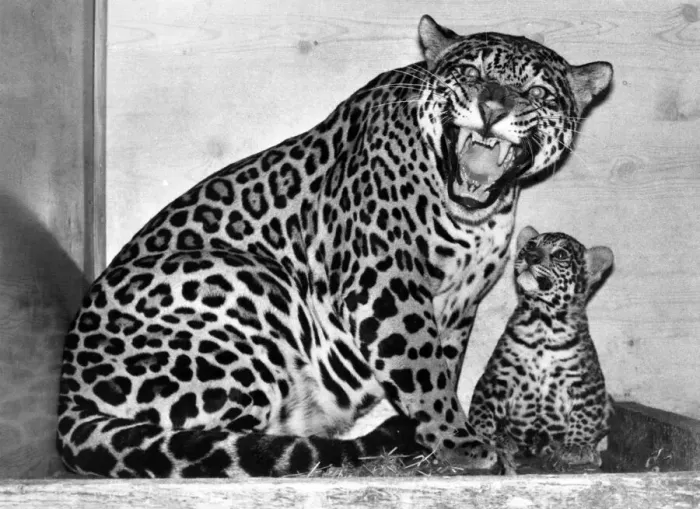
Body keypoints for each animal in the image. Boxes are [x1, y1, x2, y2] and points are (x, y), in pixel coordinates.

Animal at [468, 225, 614, 474]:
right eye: (530, 245)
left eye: (561, 255)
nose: (530, 256)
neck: (542, 321)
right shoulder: (496, 377)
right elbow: (481, 410)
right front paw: (480, 437)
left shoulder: (586, 383)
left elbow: (584, 415)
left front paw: (577, 448)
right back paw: (504, 440)